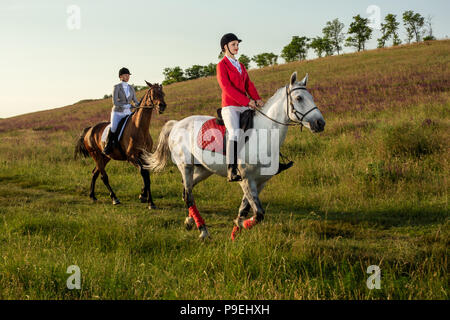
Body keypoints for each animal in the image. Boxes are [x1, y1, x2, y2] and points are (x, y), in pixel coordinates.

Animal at [74, 81, 166, 209]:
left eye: (163, 93)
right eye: (153, 93)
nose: (162, 106)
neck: (139, 128)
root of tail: (90, 129)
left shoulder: (144, 155)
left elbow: (146, 175)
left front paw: (143, 196)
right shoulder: (132, 157)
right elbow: (143, 174)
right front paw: (149, 201)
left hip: (105, 157)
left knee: (95, 173)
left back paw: (92, 196)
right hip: (96, 155)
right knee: (103, 176)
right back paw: (114, 198)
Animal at [143, 71, 324, 239]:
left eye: (311, 97)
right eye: (299, 98)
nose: (320, 123)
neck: (263, 134)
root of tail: (176, 124)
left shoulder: (260, 182)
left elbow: (245, 209)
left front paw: (235, 231)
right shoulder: (246, 179)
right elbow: (258, 213)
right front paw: (241, 224)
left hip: (204, 170)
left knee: (188, 191)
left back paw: (189, 221)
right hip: (185, 166)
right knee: (188, 195)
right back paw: (203, 230)